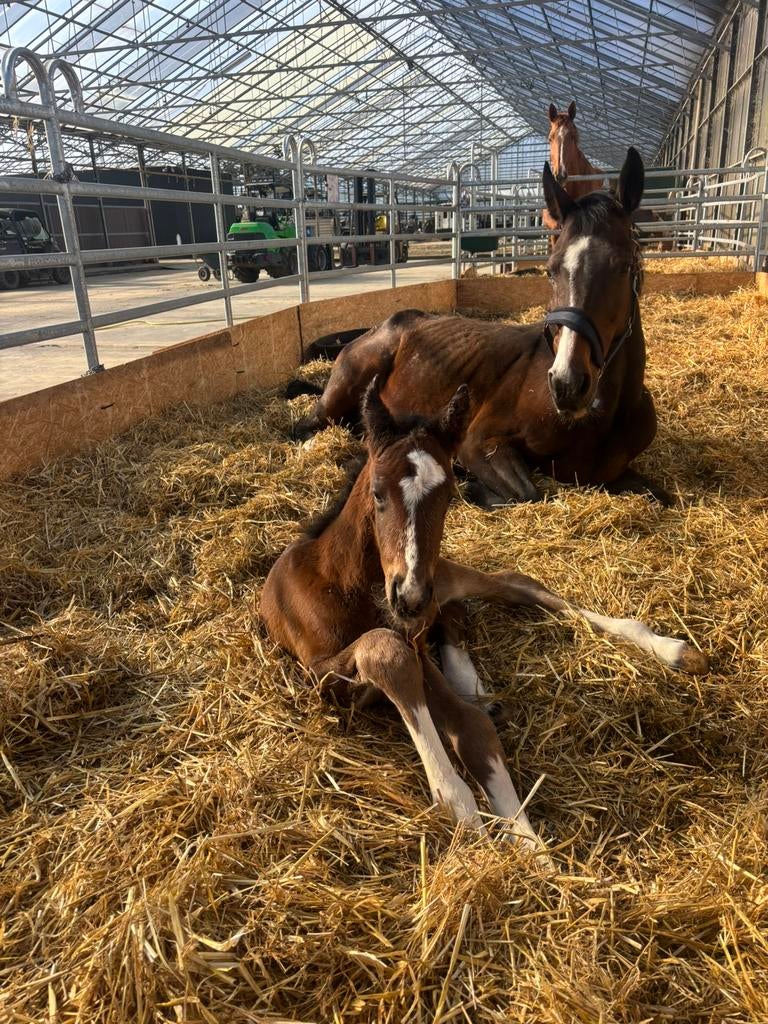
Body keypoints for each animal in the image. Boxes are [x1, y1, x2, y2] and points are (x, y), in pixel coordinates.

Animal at [261, 379, 708, 860]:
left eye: (449, 496)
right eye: (378, 493)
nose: (409, 595)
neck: (341, 582)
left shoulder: (415, 642)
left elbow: (471, 728)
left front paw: (533, 851)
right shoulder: (319, 674)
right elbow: (386, 650)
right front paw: (463, 808)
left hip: (444, 576)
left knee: (515, 586)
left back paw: (674, 650)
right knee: (461, 612)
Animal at [289, 147, 663, 507]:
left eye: (624, 266)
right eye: (551, 268)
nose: (567, 383)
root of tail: (381, 326)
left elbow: (658, 495)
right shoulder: (480, 442)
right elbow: (528, 493)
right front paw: (468, 484)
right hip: (342, 390)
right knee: (307, 427)